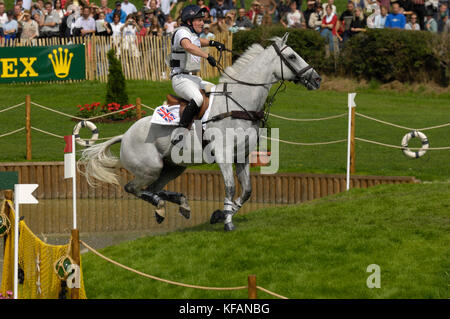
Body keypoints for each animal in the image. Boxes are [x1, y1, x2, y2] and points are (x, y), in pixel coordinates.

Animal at [79, 33, 322, 232]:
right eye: (291, 56)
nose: (317, 79)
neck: (240, 103)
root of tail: (125, 135)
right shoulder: (224, 156)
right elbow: (231, 187)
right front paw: (227, 222)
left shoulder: (242, 156)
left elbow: (247, 191)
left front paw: (220, 215)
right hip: (151, 167)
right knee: (134, 188)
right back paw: (162, 206)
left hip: (174, 167)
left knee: (154, 188)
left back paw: (179, 205)